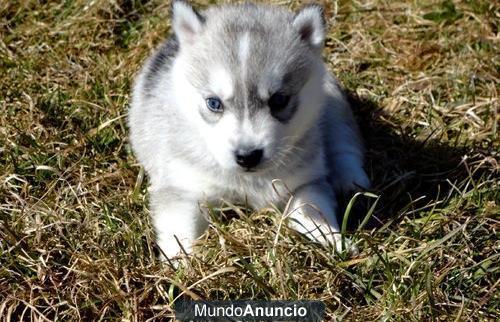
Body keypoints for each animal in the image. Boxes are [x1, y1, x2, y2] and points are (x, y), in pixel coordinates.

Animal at [129, 0, 372, 260]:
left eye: (279, 100)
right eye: (214, 103)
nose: (248, 156)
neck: (249, 180)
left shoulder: (305, 182)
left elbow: (312, 210)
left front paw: (333, 239)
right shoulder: (182, 187)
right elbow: (180, 232)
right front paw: (181, 265)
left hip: (332, 103)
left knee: (343, 144)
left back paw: (351, 179)